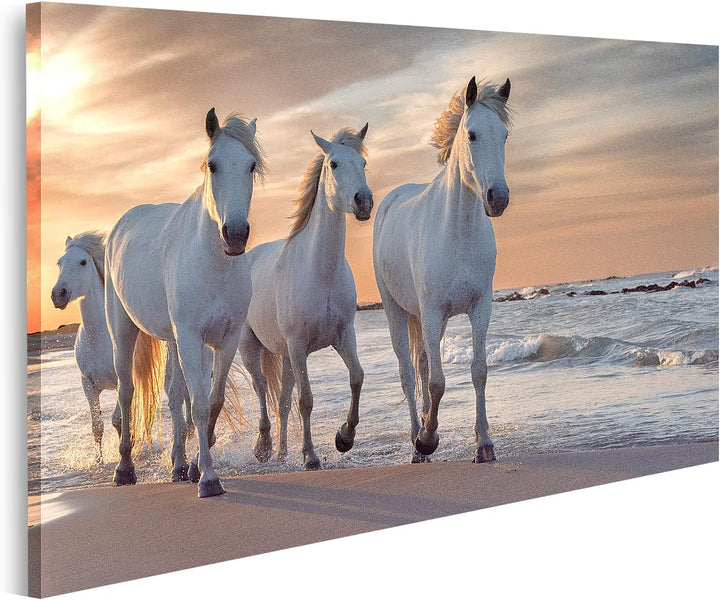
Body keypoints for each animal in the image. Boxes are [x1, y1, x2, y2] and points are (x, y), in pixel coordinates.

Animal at [105, 108, 264, 497]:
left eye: (251, 165)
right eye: (213, 165)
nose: (235, 235)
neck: (213, 263)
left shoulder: (225, 340)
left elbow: (210, 401)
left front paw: (195, 467)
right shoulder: (192, 338)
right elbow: (199, 407)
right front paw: (208, 479)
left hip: (173, 341)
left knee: (175, 395)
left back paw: (178, 465)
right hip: (124, 331)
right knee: (127, 392)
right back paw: (124, 469)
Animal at [238, 124, 372, 470]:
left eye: (363, 163)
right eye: (334, 164)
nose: (364, 202)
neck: (319, 272)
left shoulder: (344, 336)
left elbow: (356, 377)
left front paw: (344, 438)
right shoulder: (299, 346)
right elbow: (306, 400)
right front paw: (310, 456)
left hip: (285, 356)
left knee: (282, 401)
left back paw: (283, 453)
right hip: (250, 347)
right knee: (262, 388)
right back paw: (264, 447)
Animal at [373, 76, 512, 463]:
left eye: (504, 135)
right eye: (472, 134)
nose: (498, 198)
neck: (458, 232)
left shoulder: (480, 308)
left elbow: (478, 372)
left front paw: (484, 444)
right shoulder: (432, 311)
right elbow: (436, 382)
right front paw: (427, 439)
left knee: (421, 365)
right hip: (397, 311)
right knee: (408, 374)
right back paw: (416, 441)